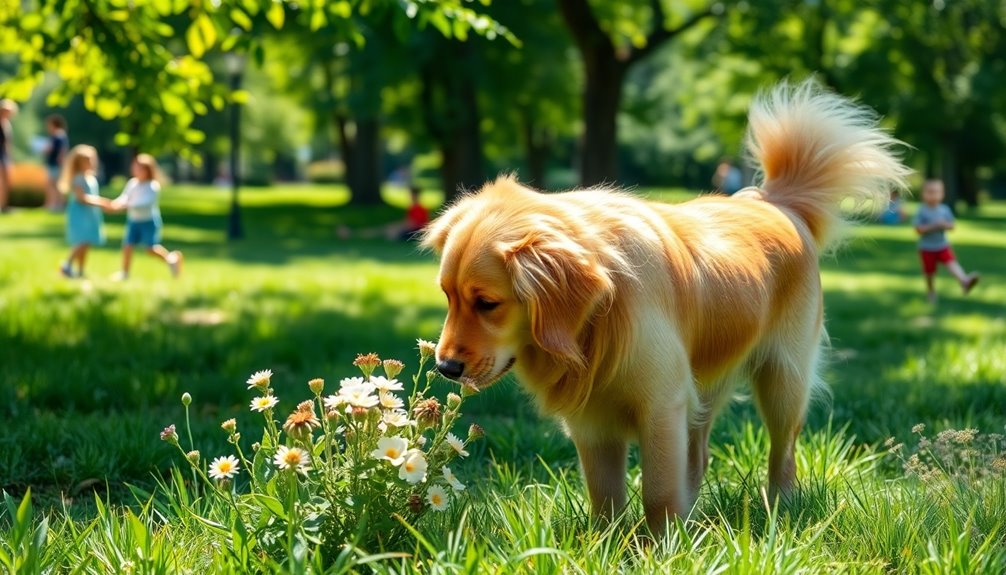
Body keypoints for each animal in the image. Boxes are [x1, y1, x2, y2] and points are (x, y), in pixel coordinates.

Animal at [420, 79, 909, 530]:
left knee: (783, 451)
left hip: (783, 378)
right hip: (706, 386)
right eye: (446, 295)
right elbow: (605, 498)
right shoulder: (592, 421)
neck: (597, 320)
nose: (444, 367)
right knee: (700, 457)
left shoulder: (662, 406)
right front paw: (606, 545)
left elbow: (657, 491)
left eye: (487, 303)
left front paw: (662, 548)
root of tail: (775, 202)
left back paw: (779, 509)